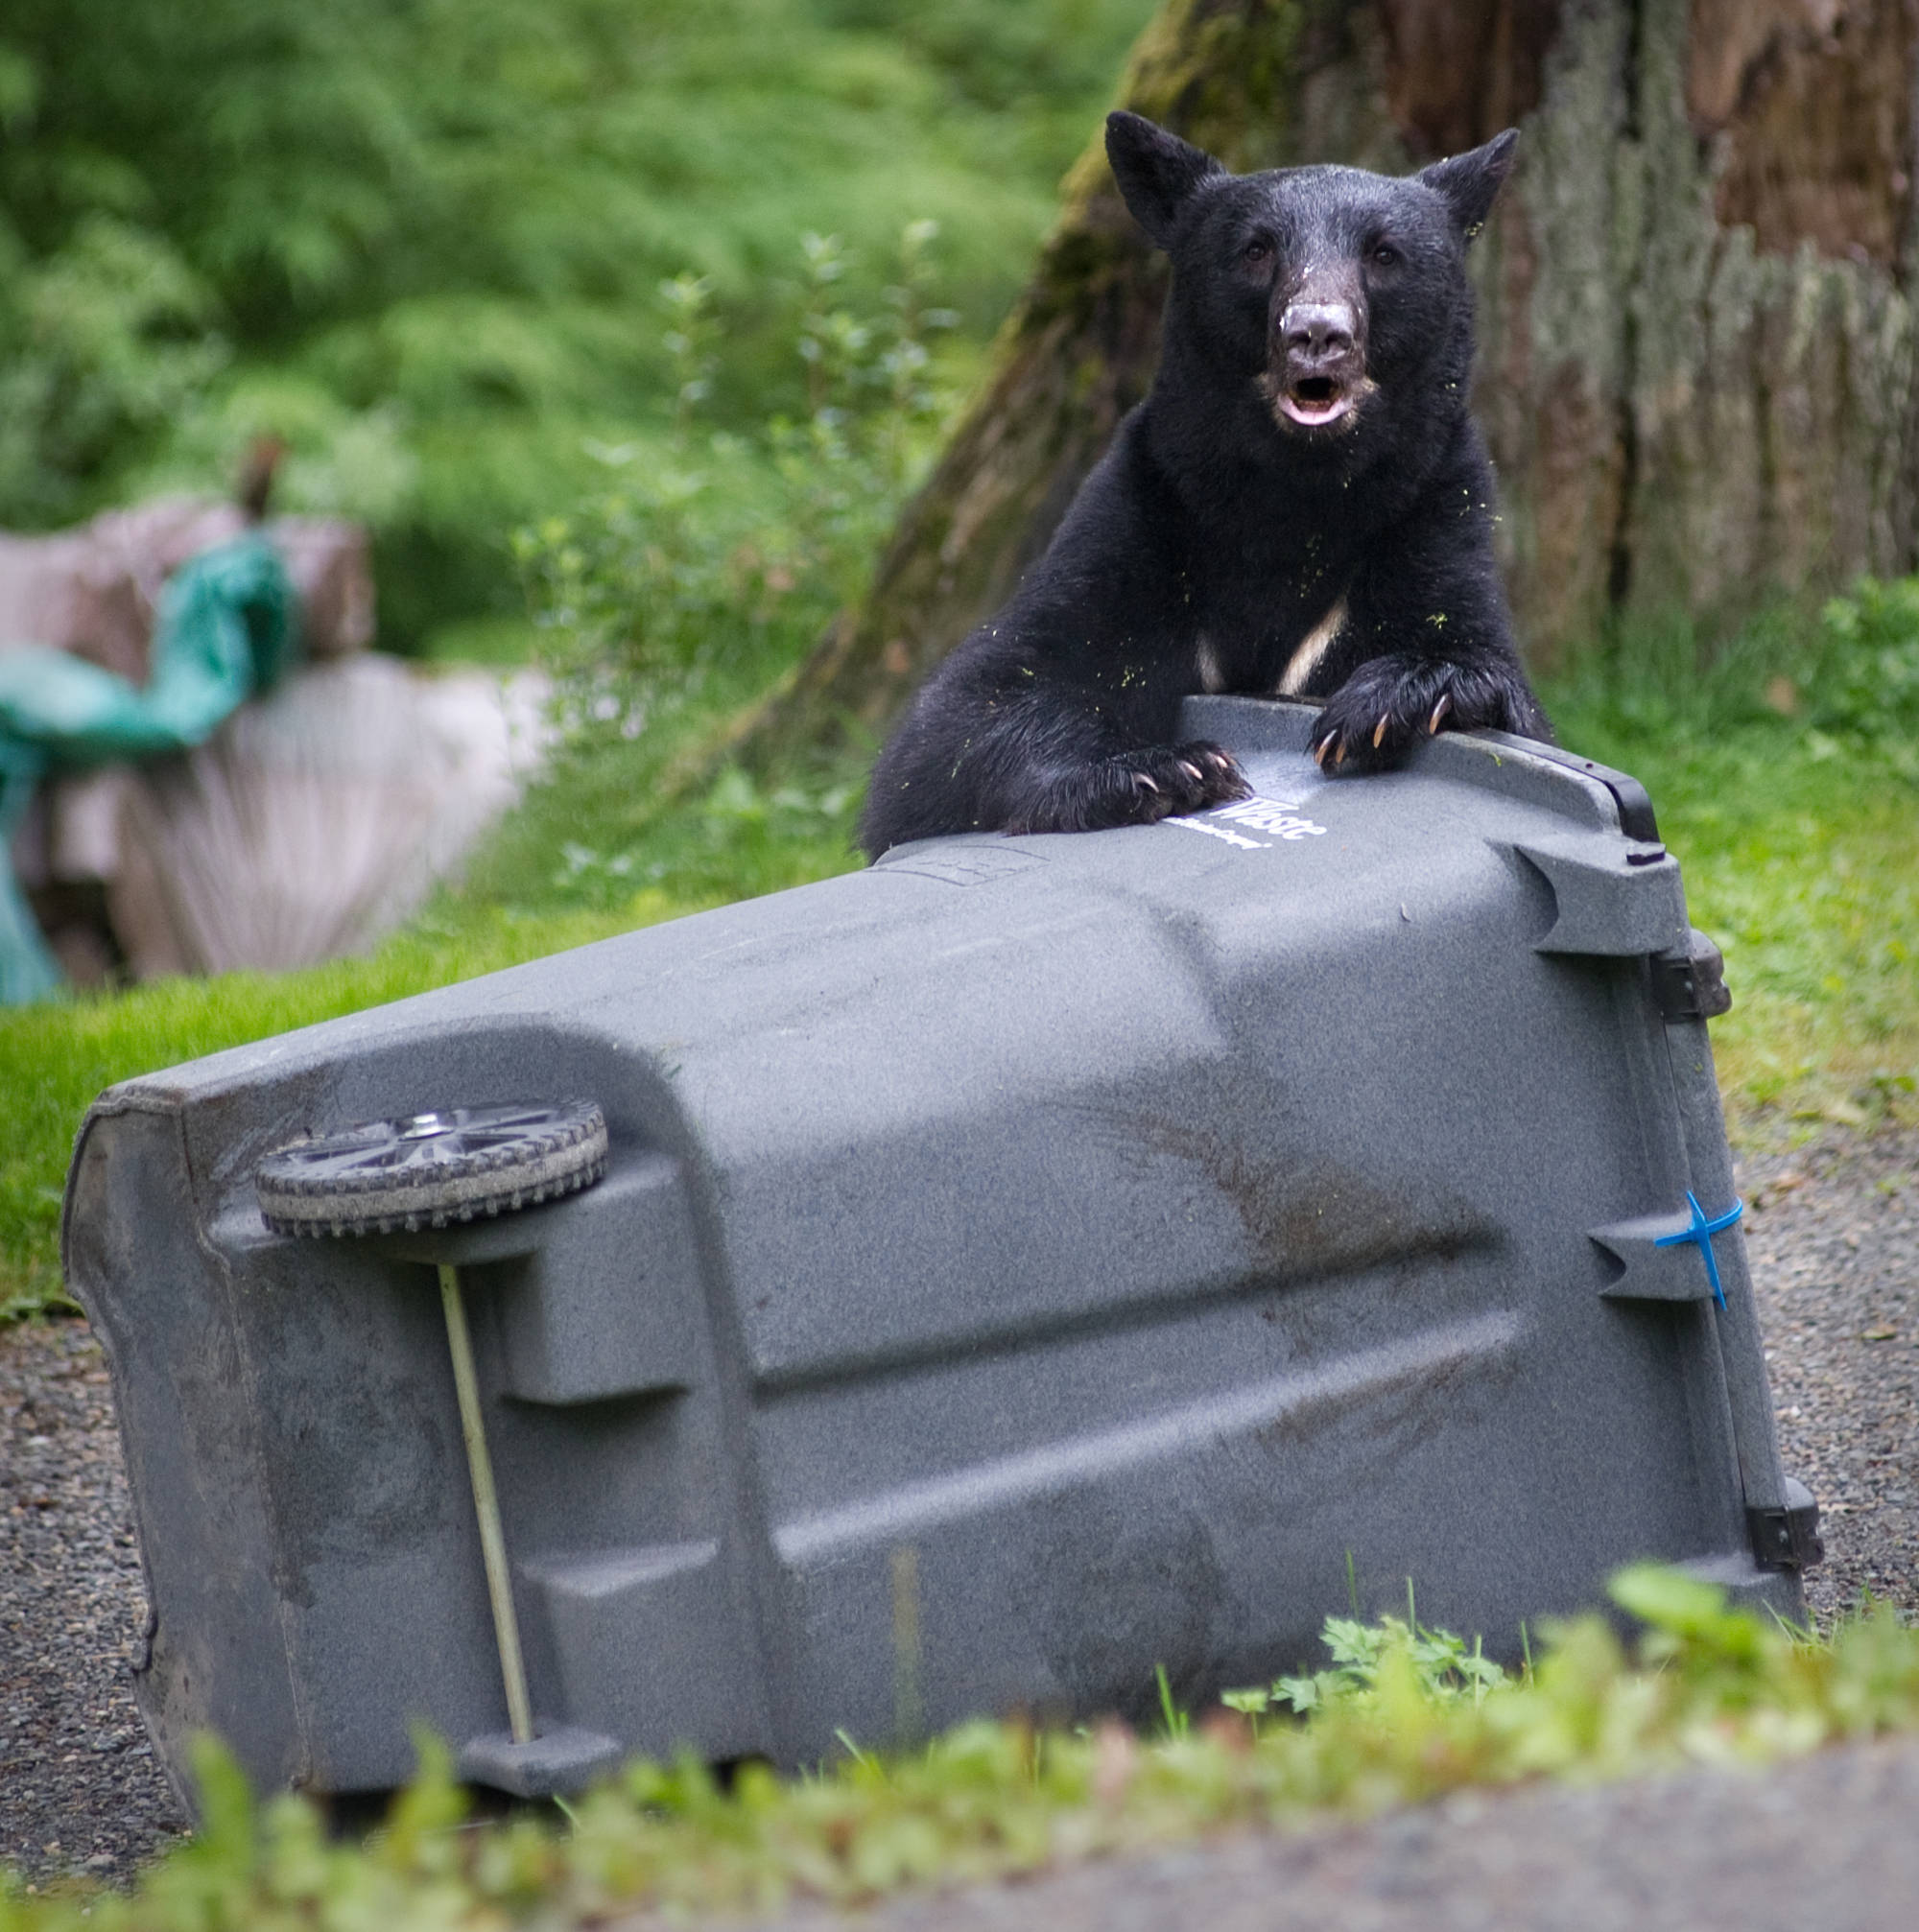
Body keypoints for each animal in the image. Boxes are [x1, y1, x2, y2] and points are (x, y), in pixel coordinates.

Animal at [862, 109, 1553, 858]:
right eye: (1255, 250)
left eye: (1384, 254)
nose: (1316, 333)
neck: (1295, 497)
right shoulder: (1140, 517)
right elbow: (956, 724)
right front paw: (1165, 767)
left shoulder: (1436, 511)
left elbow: (1497, 688)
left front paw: (1397, 696)